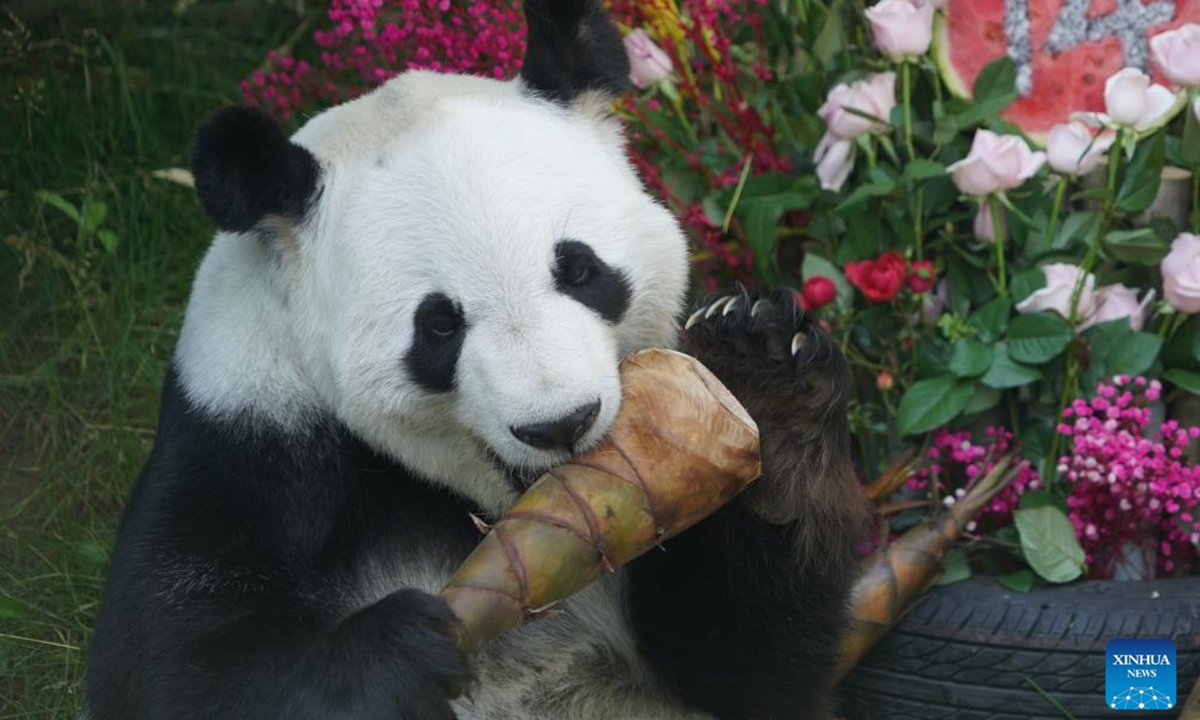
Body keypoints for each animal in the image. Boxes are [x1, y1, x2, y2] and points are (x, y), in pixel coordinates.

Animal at [83, 1, 867, 718]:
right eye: (438, 326)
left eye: (579, 270)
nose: (560, 424)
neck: (492, 509)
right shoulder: (245, 433)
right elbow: (171, 670)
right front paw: (395, 656)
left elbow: (748, 669)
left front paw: (768, 380)